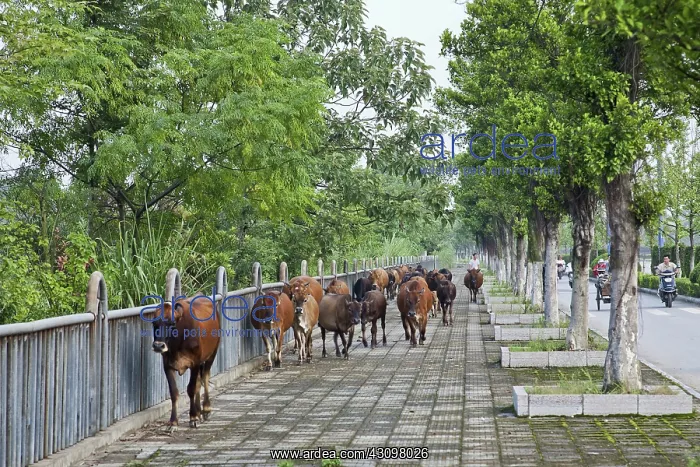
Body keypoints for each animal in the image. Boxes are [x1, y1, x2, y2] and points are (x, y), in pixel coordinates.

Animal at [151, 295, 221, 429]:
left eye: (172, 323)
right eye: (154, 322)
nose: (158, 346)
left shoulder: (195, 363)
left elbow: (191, 389)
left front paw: (193, 417)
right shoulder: (167, 365)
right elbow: (174, 392)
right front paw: (173, 422)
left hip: (212, 354)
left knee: (205, 377)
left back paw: (206, 409)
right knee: (199, 381)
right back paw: (199, 411)